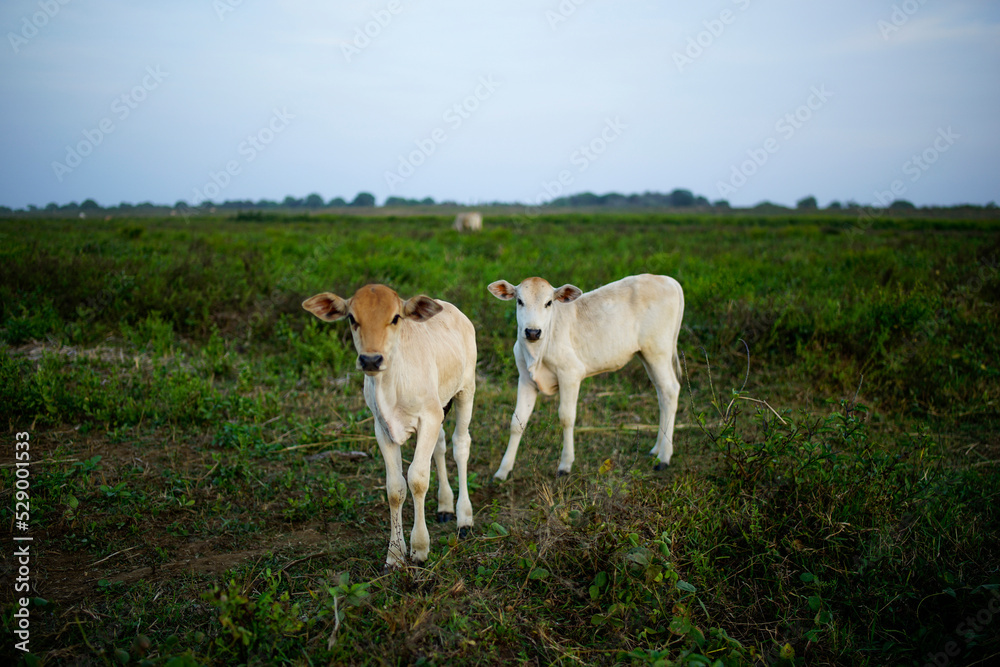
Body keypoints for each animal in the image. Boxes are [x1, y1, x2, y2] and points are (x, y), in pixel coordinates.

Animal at [300, 282, 476, 568]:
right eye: (352, 318)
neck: (392, 386)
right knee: (440, 445)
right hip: (441, 405)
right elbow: (395, 487)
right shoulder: (382, 428)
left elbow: (417, 479)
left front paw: (420, 548)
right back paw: (445, 506)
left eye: (395, 318)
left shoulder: (428, 418)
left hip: (465, 390)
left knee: (460, 445)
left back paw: (464, 518)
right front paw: (394, 554)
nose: (371, 360)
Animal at [486, 276, 688, 480]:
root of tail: (667, 280)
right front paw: (502, 471)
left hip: (658, 351)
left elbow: (566, 417)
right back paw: (656, 449)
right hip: (647, 355)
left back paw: (664, 457)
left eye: (549, 302)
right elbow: (517, 421)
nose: (532, 332)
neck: (536, 353)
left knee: (670, 391)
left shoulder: (570, 374)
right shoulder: (525, 379)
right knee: (661, 394)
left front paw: (565, 465)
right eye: (520, 301)